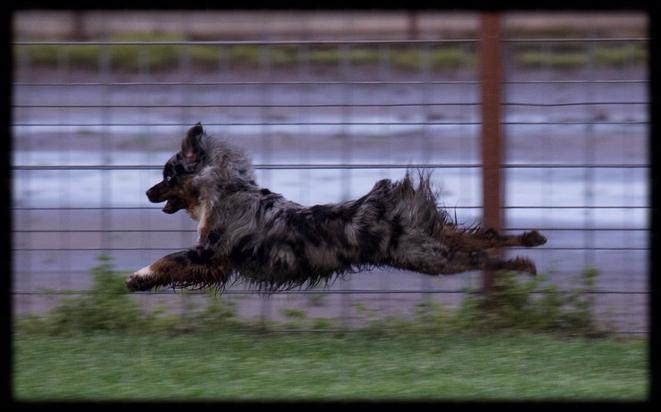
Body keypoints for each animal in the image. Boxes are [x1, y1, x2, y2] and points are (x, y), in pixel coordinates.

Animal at [125, 123, 548, 292]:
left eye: (167, 175)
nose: (145, 192)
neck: (225, 188)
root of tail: (393, 201)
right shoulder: (216, 265)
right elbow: (174, 267)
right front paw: (143, 282)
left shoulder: (211, 253)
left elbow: (168, 259)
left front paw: (137, 278)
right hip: (434, 243)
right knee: (482, 237)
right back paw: (530, 240)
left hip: (426, 257)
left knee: (478, 258)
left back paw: (521, 264)